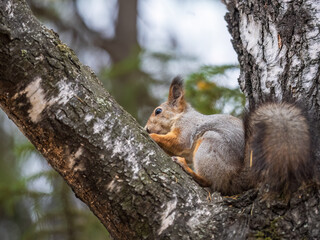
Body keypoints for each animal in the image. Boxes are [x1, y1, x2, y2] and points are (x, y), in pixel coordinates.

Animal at [146, 76, 316, 197]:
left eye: (158, 111)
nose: (147, 129)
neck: (181, 115)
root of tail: (236, 177)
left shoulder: (187, 127)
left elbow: (178, 142)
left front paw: (152, 136)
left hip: (209, 145)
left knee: (210, 181)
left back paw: (187, 168)